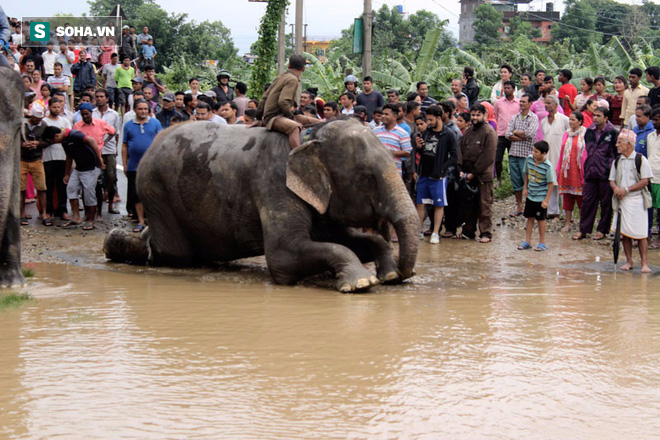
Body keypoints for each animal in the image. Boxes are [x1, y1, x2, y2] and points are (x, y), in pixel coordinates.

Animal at [105, 119, 420, 292]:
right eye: (368, 178)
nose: (404, 274)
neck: (310, 136)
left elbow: (350, 239)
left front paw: (389, 275)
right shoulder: (273, 183)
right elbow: (284, 256)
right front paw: (362, 284)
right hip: (155, 189)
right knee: (172, 253)